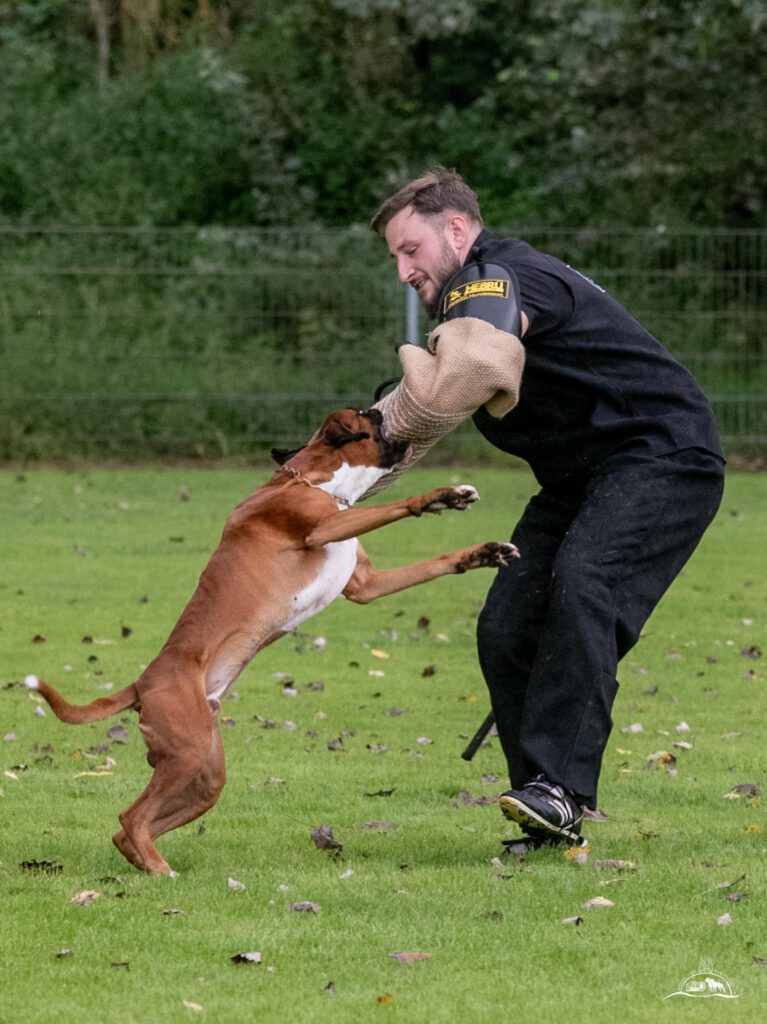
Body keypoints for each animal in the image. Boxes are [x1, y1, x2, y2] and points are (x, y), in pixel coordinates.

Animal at [23, 405, 518, 872]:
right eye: (366, 415)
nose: (383, 409)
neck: (319, 484)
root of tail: (143, 683)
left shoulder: (367, 585)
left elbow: (434, 561)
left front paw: (481, 553)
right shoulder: (323, 528)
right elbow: (393, 508)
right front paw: (441, 495)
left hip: (204, 776)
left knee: (131, 829)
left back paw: (149, 863)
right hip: (187, 753)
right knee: (131, 817)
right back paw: (161, 870)